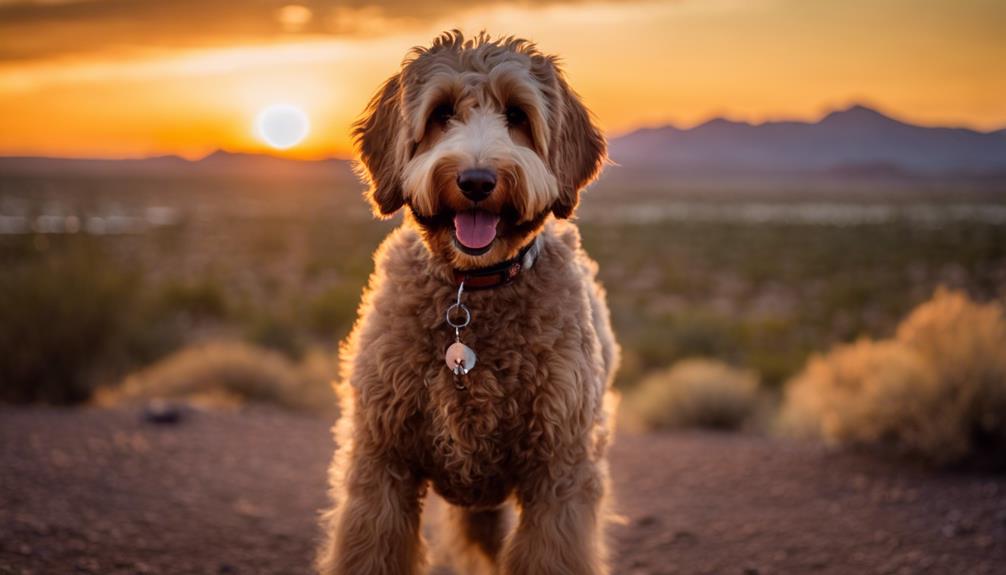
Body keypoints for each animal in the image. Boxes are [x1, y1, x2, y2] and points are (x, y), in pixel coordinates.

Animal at [317, 31, 615, 575]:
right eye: (441, 113)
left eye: (517, 115)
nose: (477, 181)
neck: (470, 293)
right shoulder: (381, 462)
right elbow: (368, 548)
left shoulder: (559, 473)